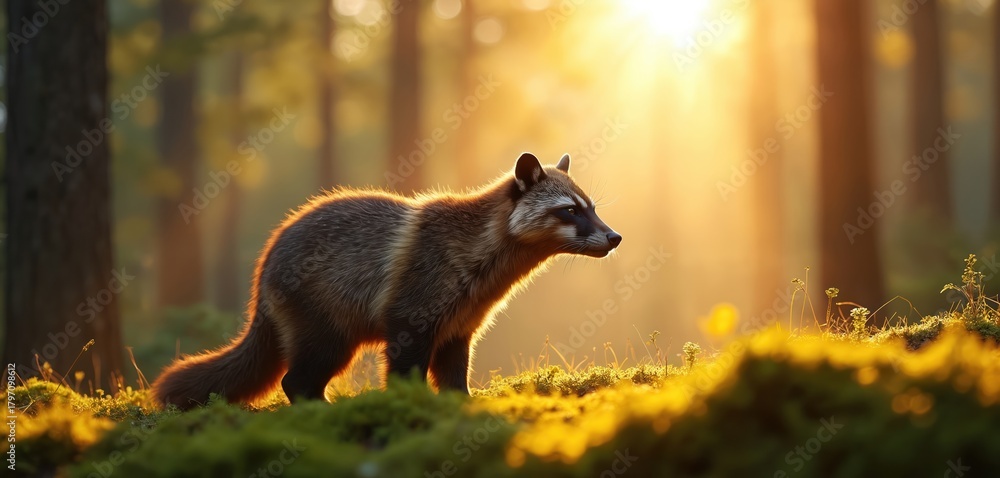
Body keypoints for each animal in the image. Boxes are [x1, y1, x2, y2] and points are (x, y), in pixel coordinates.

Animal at [152, 153, 622, 409]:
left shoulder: (462, 319)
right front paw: (407, 403)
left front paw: (458, 401)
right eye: (569, 211)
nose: (615, 237)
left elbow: (454, 369)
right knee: (298, 376)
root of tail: (263, 272)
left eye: (592, 207)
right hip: (324, 317)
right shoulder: (415, 300)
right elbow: (404, 363)